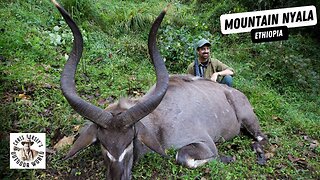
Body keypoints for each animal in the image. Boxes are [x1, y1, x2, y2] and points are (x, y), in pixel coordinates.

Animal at [52, 0, 268, 179]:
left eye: (129, 142)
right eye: (103, 145)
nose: (118, 177)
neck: (159, 122)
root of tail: (235, 93)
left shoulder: (205, 144)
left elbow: (182, 157)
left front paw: (227, 158)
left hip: (249, 119)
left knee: (261, 137)